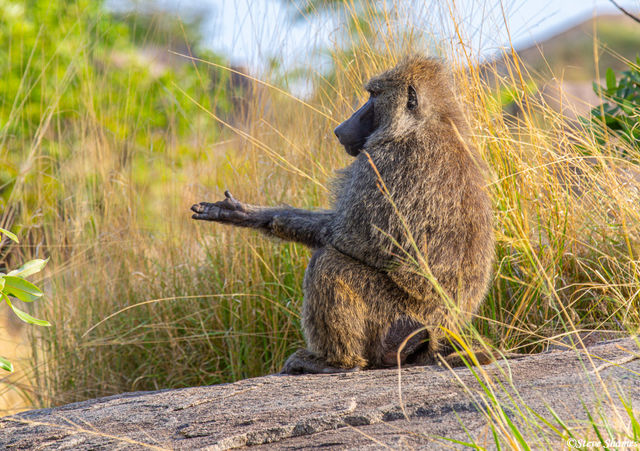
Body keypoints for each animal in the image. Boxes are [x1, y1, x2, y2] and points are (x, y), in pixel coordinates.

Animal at [191, 56, 496, 374]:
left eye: (374, 95)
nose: (340, 129)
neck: (425, 123)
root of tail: (442, 333)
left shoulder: (378, 162)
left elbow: (345, 237)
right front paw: (242, 213)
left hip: (398, 315)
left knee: (327, 264)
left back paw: (335, 363)